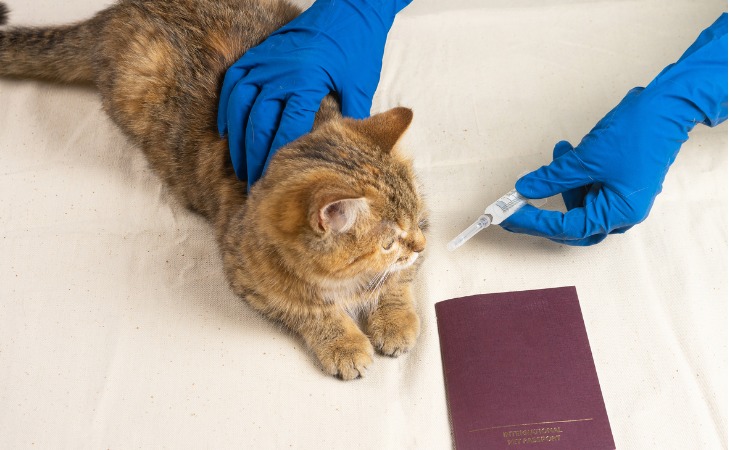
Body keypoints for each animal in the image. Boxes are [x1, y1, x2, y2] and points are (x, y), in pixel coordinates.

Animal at [0, 0, 426, 380]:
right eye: (388, 242)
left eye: (419, 217)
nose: (421, 246)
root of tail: (112, 13)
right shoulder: (250, 277)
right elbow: (309, 309)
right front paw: (344, 343)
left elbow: (397, 281)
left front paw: (394, 319)